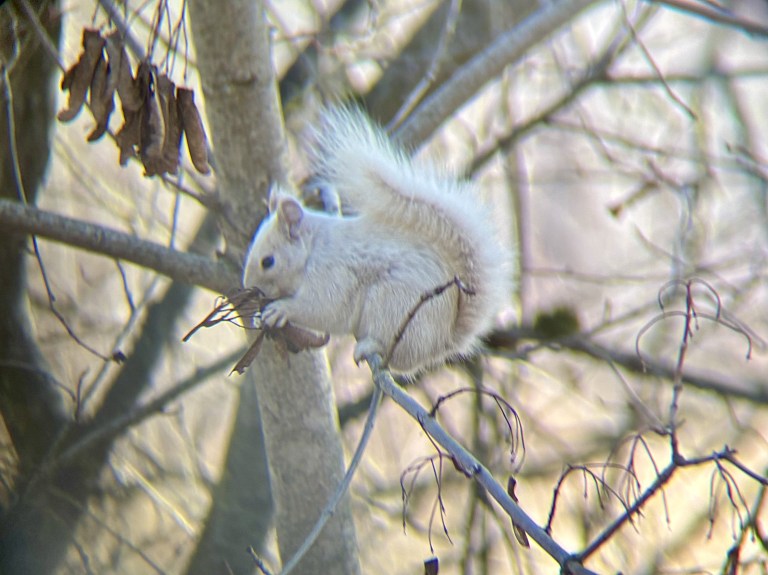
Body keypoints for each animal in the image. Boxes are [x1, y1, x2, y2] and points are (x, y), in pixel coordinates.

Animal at [243, 106, 511, 374]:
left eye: (268, 261)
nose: (250, 288)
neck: (313, 249)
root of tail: (439, 344)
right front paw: (259, 314)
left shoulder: (332, 273)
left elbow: (322, 307)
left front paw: (281, 309)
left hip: (390, 304)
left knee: (395, 353)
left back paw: (371, 346)